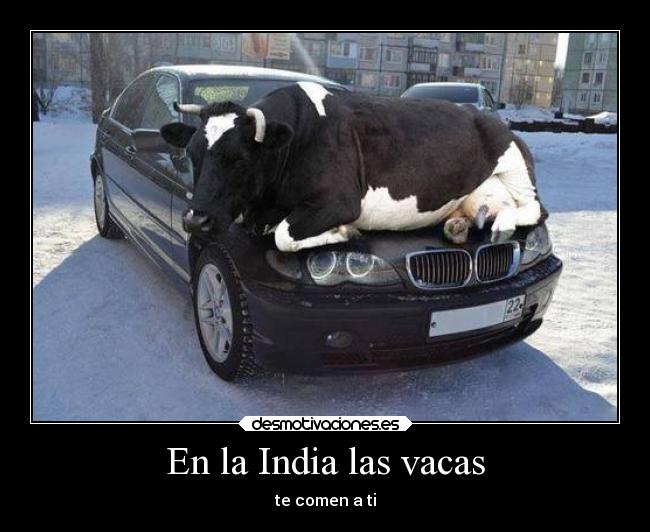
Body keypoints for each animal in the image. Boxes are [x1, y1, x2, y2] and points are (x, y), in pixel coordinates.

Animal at [160, 81, 547, 252]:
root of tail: (488, 117)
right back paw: (458, 225)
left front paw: (345, 232)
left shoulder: (340, 200)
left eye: (240, 159)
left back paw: (503, 223)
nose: (195, 220)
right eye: (192, 154)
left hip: (515, 166)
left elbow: (285, 235)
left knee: (534, 209)